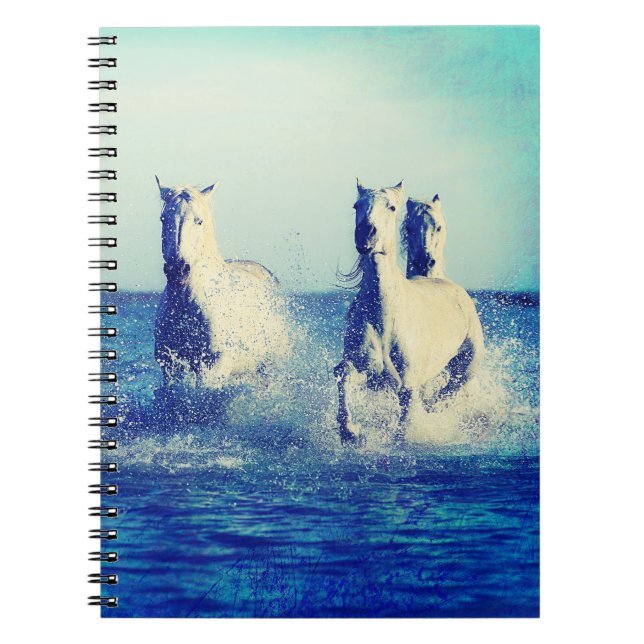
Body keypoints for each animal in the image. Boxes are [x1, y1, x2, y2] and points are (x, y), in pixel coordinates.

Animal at [154, 177, 289, 388]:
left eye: (199, 221)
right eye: (163, 219)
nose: (178, 270)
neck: (187, 304)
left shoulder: (214, 365)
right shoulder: (170, 365)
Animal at [334, 180, 484, 444]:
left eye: (392, 207)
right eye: (356, 206)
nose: (365, 234)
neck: (385, 316)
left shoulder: (408, 384)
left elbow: (405, 421)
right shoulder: (362, 367)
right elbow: (343, 375)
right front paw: (350, 431)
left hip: (466, 368)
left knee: (445, 394)